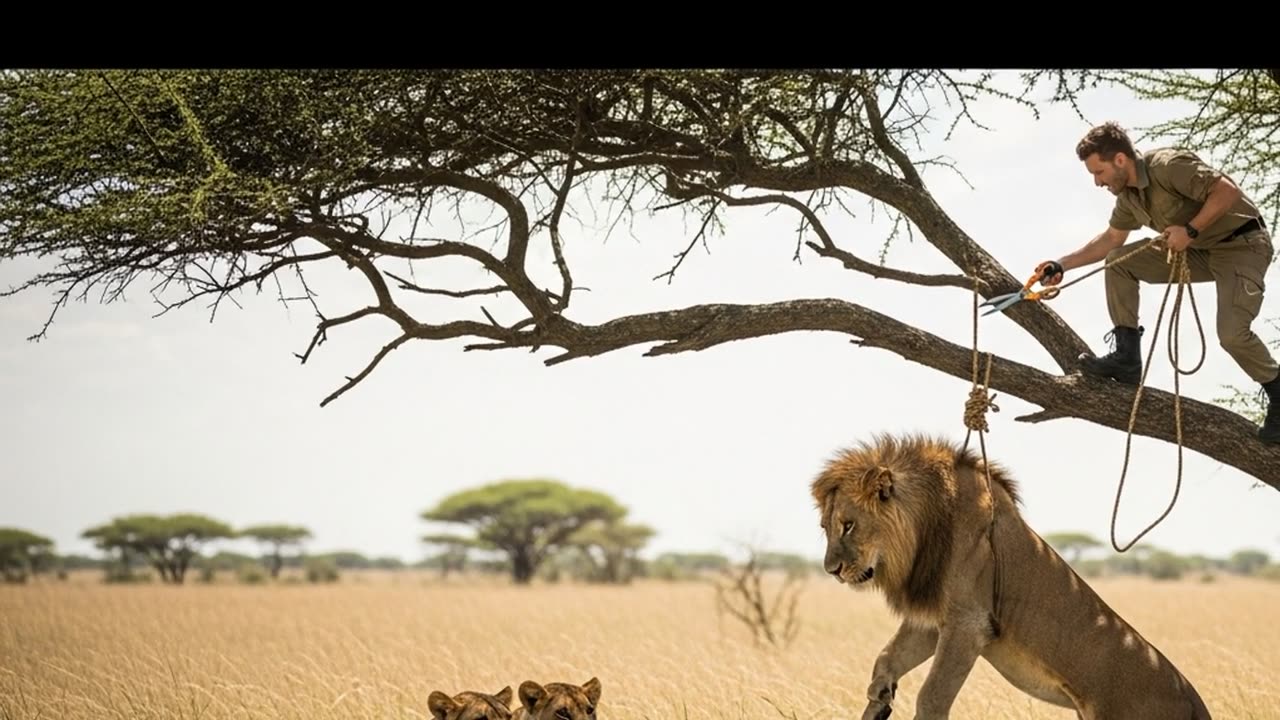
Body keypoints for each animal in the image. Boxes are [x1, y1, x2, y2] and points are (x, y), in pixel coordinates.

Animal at [810, 432, 1211, 720]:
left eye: (848, 525)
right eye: (825, 527)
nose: (831, 571)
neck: (925, 529)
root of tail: (1193, 702)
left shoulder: (970, 622)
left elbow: (932, 696)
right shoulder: (938, 617)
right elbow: (887, 658)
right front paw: (880, 696)